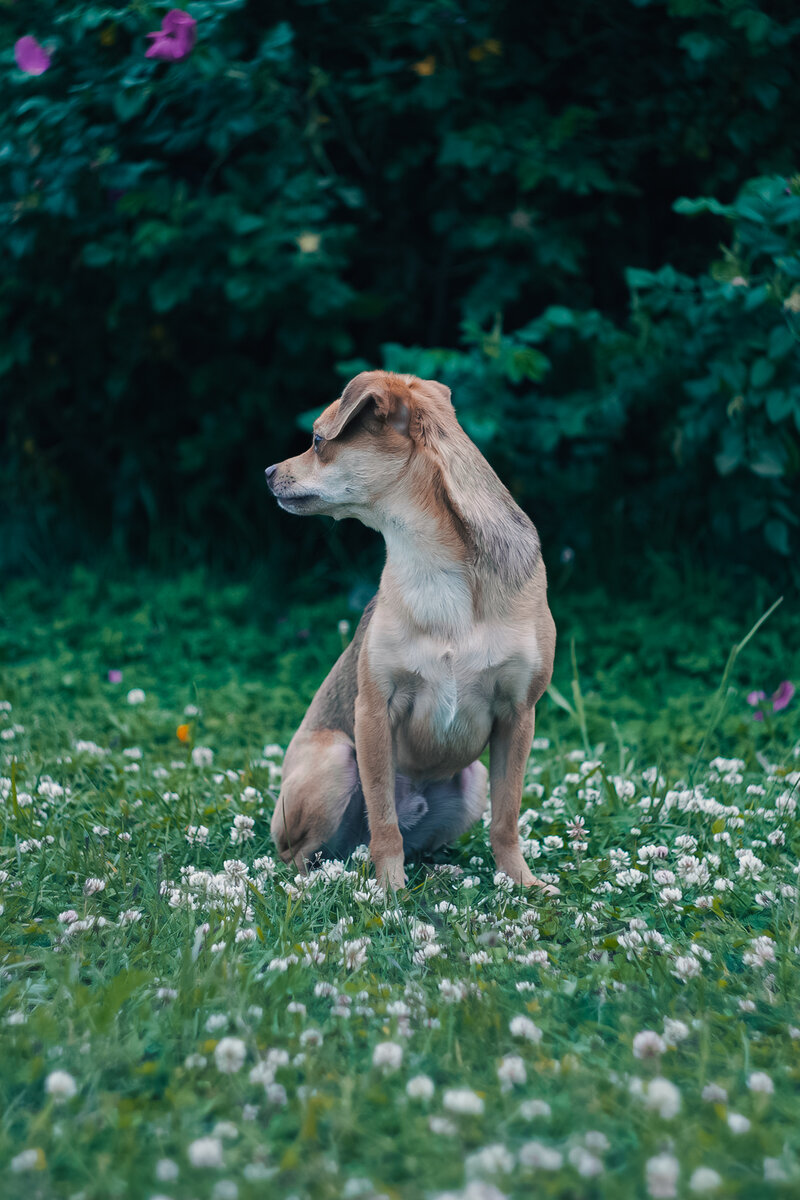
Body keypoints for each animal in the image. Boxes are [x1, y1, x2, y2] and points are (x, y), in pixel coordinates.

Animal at [266, 367, 554, 892]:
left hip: (472, 782)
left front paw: (522, 882)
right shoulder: (375, 710)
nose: (267, 472)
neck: (433, 562)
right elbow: (383, 819)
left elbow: (506, 818)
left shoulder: (518, 714)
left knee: (417, 842)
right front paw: (389, 890)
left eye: (317, 440)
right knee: (302, 853)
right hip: (335, 760)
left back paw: (440, 869)